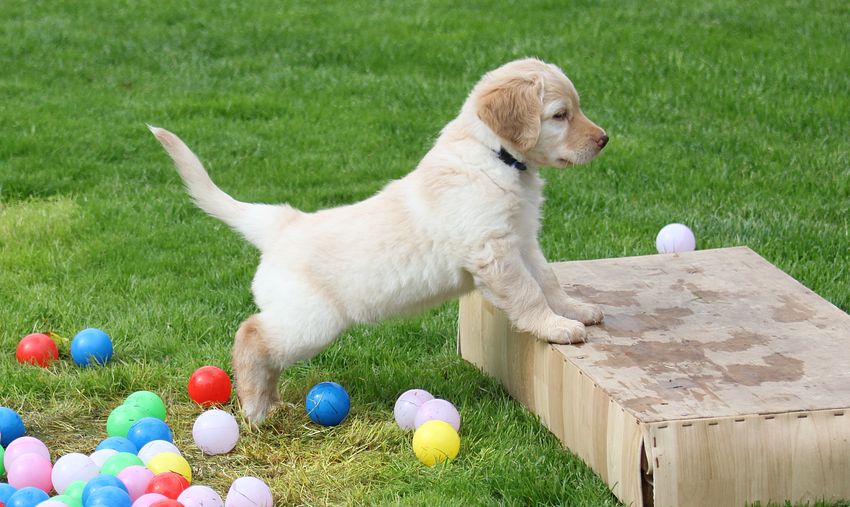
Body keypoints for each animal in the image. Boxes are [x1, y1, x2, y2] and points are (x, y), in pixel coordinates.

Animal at [150, 57, 609, 424]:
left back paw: (272, 401)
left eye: (575, 109)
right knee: (251, 334)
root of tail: (282, 223)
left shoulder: (524, 240)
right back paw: (255, 406)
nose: (604, 139)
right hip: (310, 322)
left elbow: (548, 280)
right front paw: (554, 327)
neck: (494, 155)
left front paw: (574, 311)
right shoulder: (494, 249)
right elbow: (529, 293)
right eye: (560, 115)